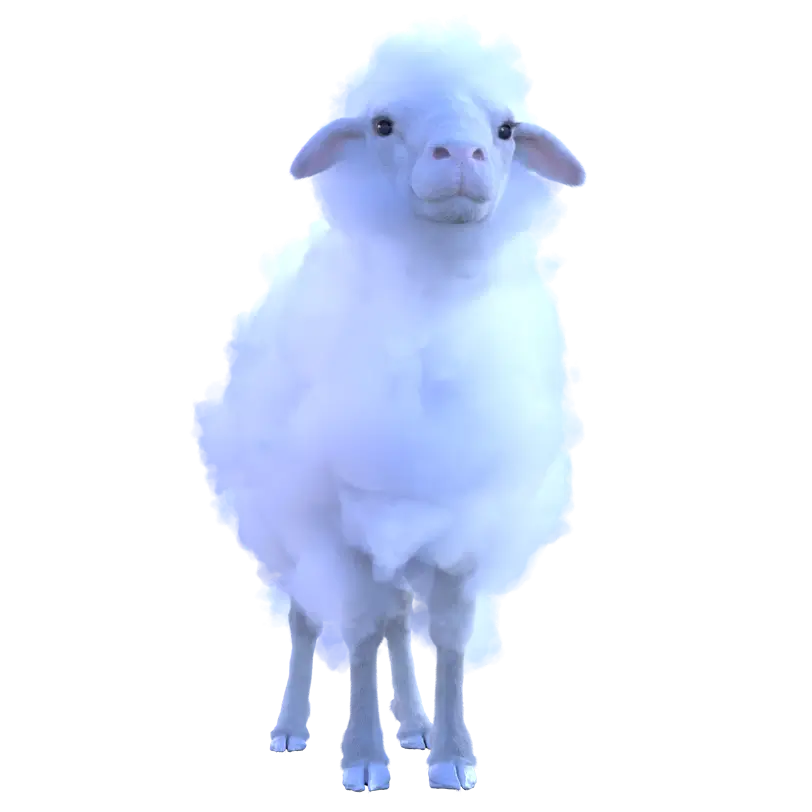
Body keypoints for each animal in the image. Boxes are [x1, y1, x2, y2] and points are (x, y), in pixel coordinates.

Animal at [193, 17, 586, 792]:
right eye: (381, 125)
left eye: (504, 130)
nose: (459, 153)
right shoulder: (338, 532)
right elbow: (362, 633)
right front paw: (360, 758)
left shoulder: (460, 525)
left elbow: (447, 639)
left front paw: (454, 757)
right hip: (292, 528)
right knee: (312, 623)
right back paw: (294, 728)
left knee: (405, 621)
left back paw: (413, 725)